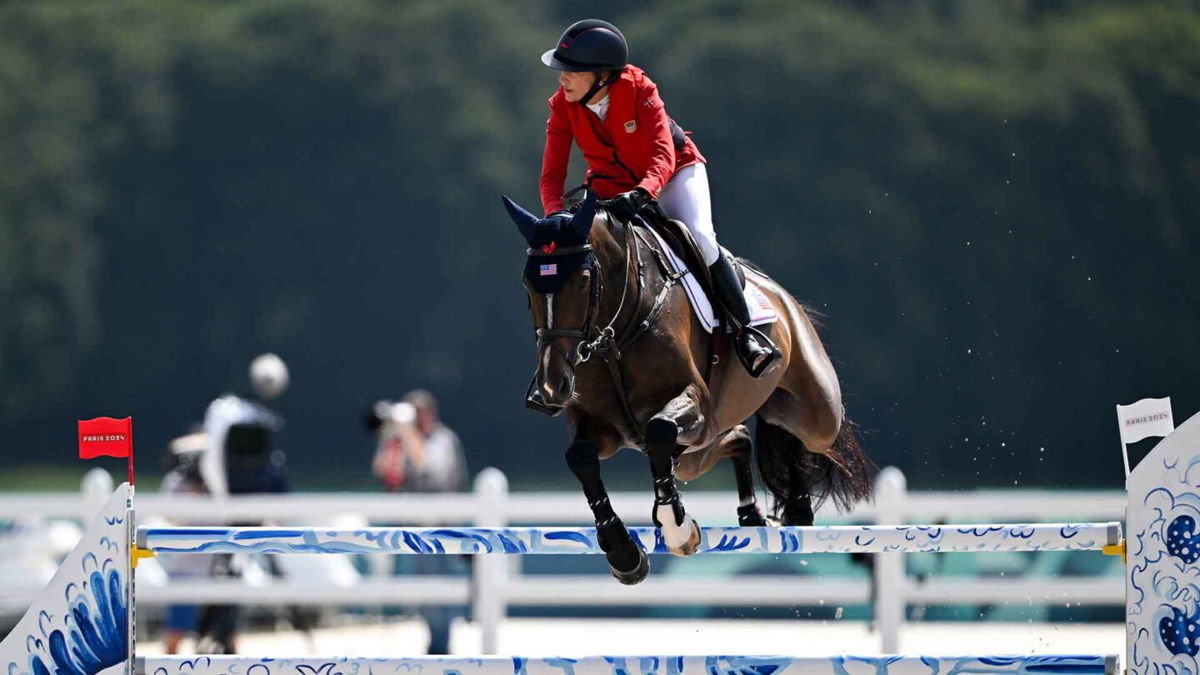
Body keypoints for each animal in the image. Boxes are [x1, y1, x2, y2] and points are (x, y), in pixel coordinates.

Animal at [499, 190, 873, 583]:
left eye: (584, 280)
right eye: (527, 285)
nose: (550, 388)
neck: (615, 334)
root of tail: (783, 298)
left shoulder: (695, 403)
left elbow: (659, 430)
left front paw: (676, 526)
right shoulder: (601, 426)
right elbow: (581, 458)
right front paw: (623, 553)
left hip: (812, 414)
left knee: (805, 433)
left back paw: (795, 505)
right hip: (698, 451)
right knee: (741, 437)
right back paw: (759, 513)